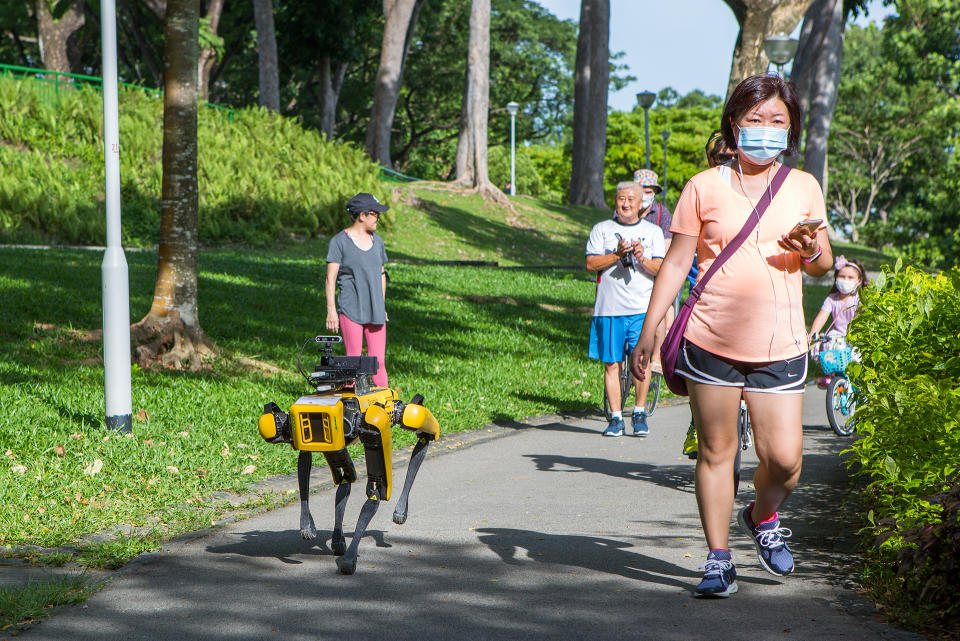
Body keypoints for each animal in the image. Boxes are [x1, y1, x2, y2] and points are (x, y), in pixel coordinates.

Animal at [253, 336, 436, 576]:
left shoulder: (375, 422)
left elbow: (423, 433)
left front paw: (400, 512)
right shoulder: (291, 430)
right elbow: (305, 463)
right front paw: (307, 526)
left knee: (370, 485)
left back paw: (347, 552)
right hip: (338, 448)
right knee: (346, 478)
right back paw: (339, 542)